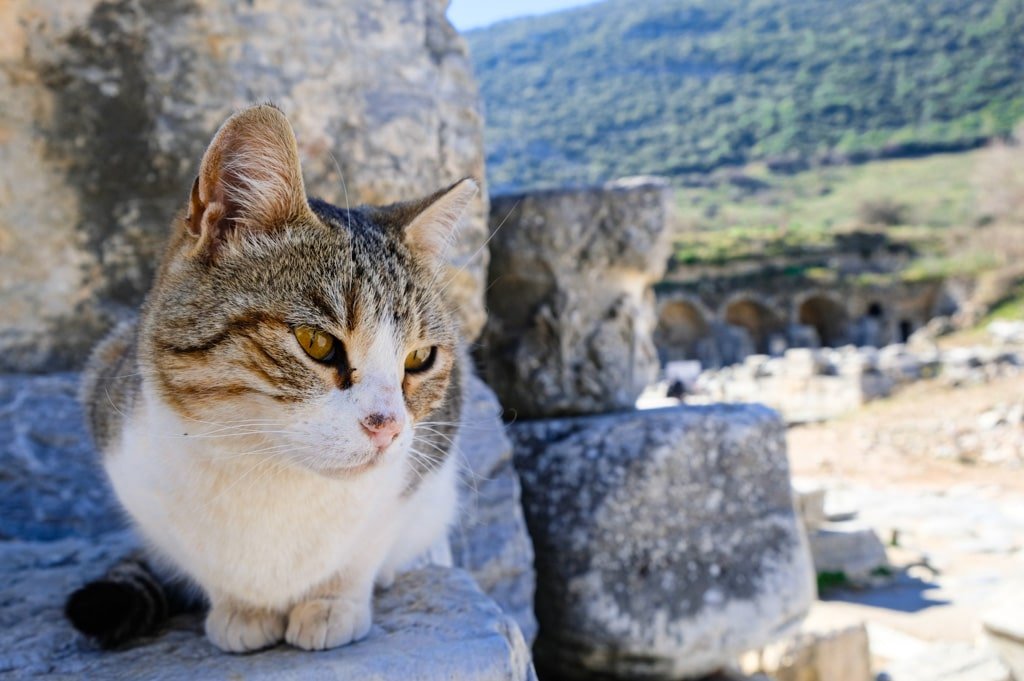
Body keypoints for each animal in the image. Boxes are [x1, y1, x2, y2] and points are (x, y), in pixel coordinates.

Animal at [66, 103, 473, 651]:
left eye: (419, 358)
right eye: (316, 342)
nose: (387, 426)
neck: (266, 469)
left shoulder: (422, 461)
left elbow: (365, 548)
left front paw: (333, 602)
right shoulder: (114, 420)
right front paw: (241, 608)